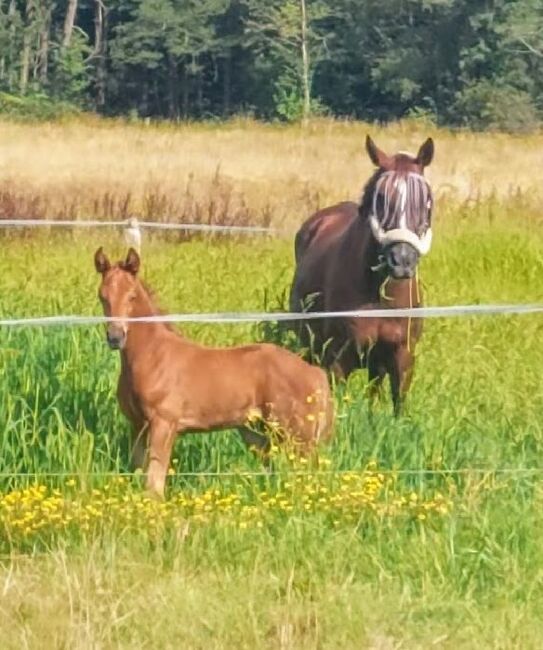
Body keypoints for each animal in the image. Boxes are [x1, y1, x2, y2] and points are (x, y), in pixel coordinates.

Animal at [94, 246, 334, 494]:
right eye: (103, 296)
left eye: (131, 296)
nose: (115, 337)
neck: (152, 355)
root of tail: (316, 373)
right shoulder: (137, 425)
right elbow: (139, 473)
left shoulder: (164, 423)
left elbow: (154, 484)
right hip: (258, 433)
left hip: (298, 437)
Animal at [292, 135, 436, 416]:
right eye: (380, 197)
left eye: (426, 200)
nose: (402, 260)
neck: (379, 295)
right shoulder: (338, 359)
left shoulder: (401, 357)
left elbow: (396, 404)